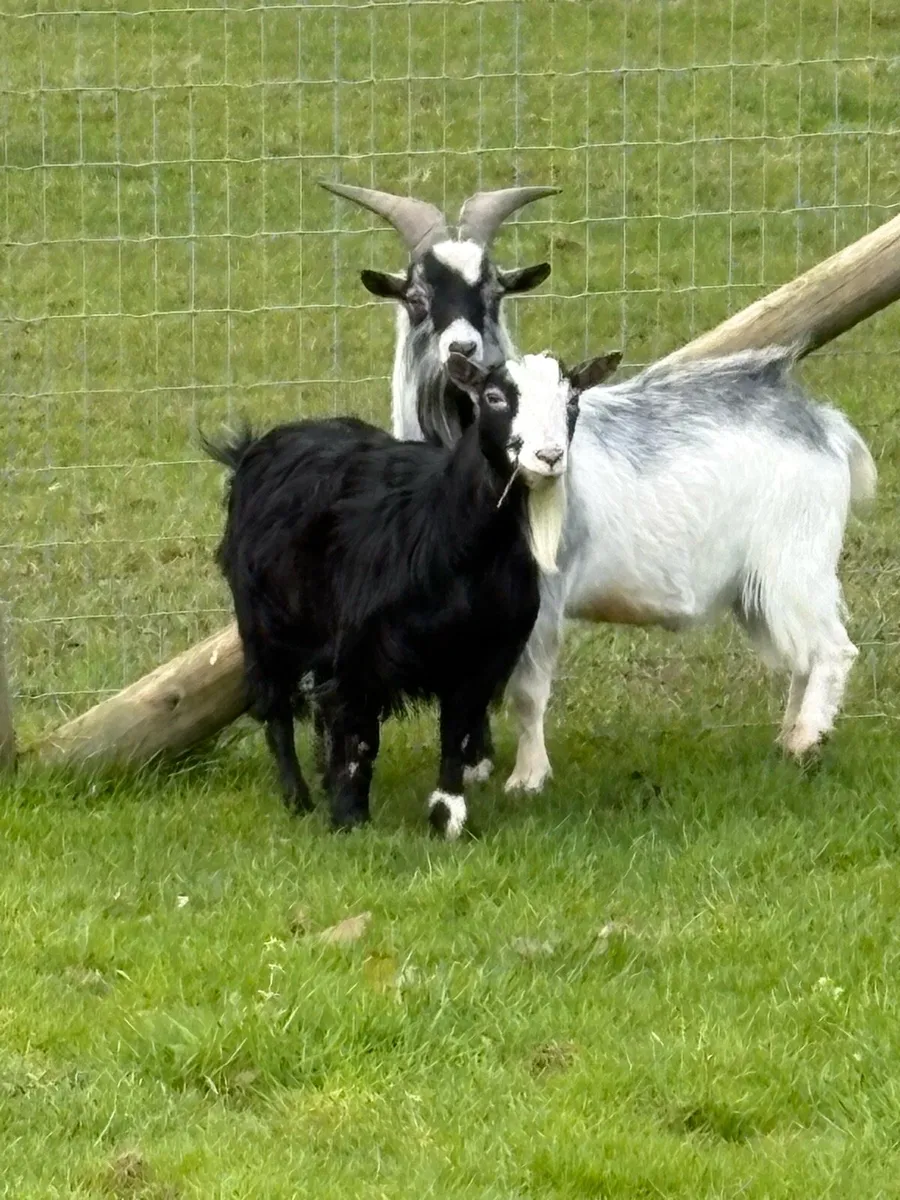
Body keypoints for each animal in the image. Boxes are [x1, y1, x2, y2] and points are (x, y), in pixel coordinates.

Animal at [205, 351, 612, 836]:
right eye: (493, 397)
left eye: (573, 400)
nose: (549, 457)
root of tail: (250, 450)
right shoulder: (363, 649)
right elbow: (359, 734)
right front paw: (350, 819)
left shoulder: (480, 657)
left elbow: (456, 732)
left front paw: (447, 817)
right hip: (263, 624)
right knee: (277, 710)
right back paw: (297, 797)